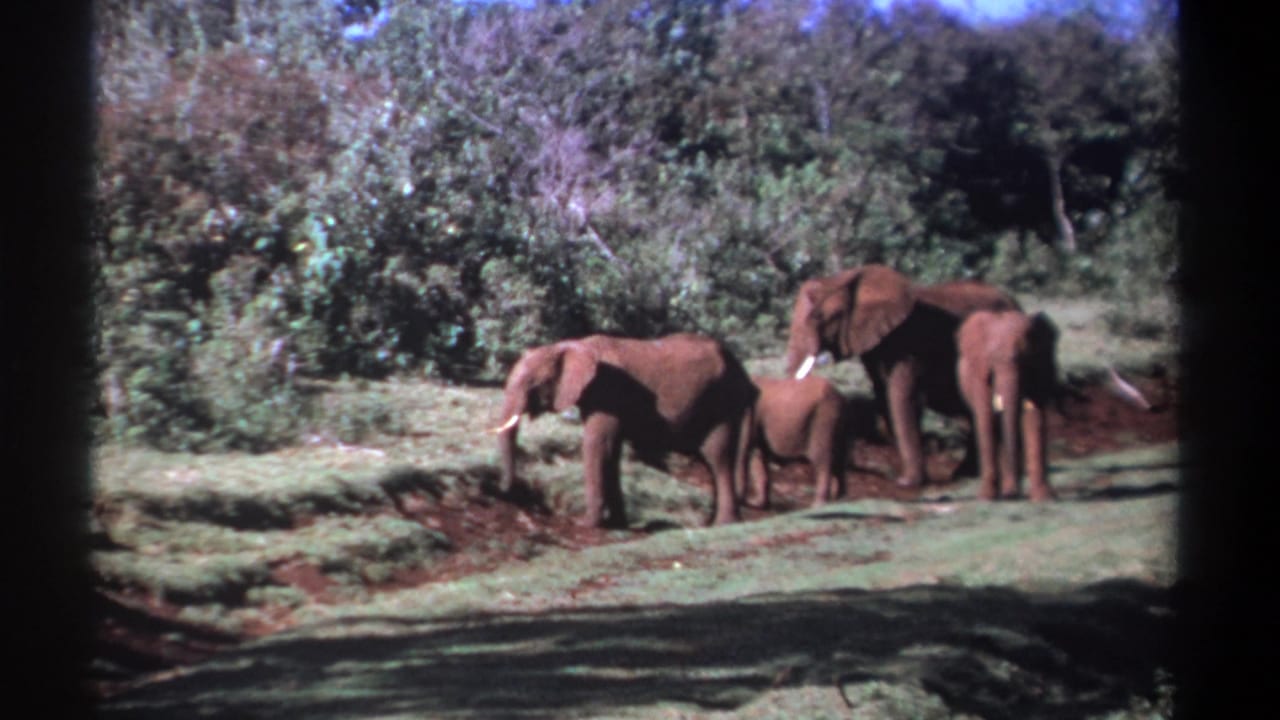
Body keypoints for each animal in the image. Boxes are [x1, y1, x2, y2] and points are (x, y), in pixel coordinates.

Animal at [490, 333, 757, 528]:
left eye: (534, 384)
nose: (508, 491)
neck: (571, 345)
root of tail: (743, 373)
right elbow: (612, 450)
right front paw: (618, 523)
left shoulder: (607, 391)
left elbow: (597, 445)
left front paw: (587, 524)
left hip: (720, 401)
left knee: (717, 455)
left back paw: (724, 524)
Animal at [743, 375, 849, 511]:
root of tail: (839, 395)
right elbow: (759, 455)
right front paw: (758, 503)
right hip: (838, 423)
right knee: (839, 458)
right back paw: (839, 501)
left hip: (823, 419)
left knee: (823, 459)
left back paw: (818, 505)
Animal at [784, 264, 1021, 488]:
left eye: (819, 317)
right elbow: (884, 394)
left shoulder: (909, 343)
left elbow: (903, 396)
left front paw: (907, 482)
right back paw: (966, 475)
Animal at [955, 310, 1061, 501]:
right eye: (992, 360)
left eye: (1025, 361)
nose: (1014, 494)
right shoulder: (979, 374)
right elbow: (986, 417)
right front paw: (986, 498)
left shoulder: (1042, 366)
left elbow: (1035, 416)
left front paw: (1044, 498)